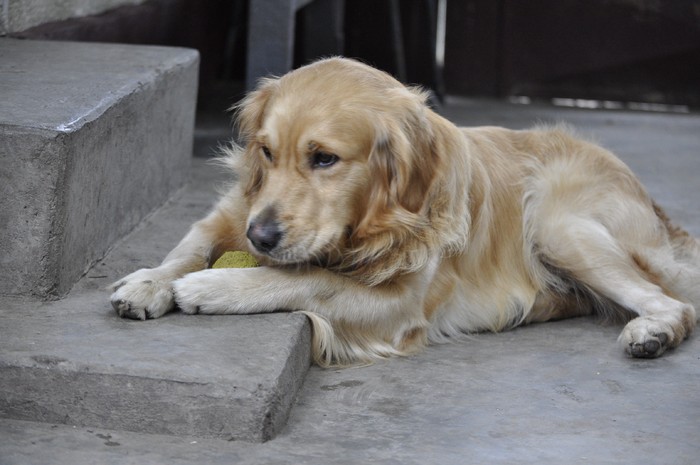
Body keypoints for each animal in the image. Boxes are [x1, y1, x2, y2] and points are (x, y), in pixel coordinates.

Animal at [110, 56, 700, 364]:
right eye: (267, 152)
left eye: (324, 158)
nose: (261, 238)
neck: (368, 225)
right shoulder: (234, 211)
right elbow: (190, 245)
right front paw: (148, 281)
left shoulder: (399, 304)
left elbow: (306, 279)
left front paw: (215, 286)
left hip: (559, 225)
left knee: (675, 303)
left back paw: (652, 333)